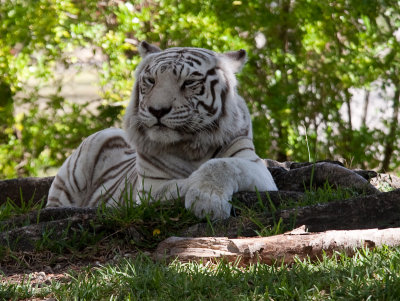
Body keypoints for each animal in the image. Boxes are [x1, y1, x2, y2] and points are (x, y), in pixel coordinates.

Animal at [46, 41, 278, 218]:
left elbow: (221, 165)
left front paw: (207, 199)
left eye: (189, 82)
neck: (193, 147)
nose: (157, 110)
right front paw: (204, 199)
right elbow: (179, 184)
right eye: (151, 80)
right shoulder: (150, 187)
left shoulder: (255, 167)